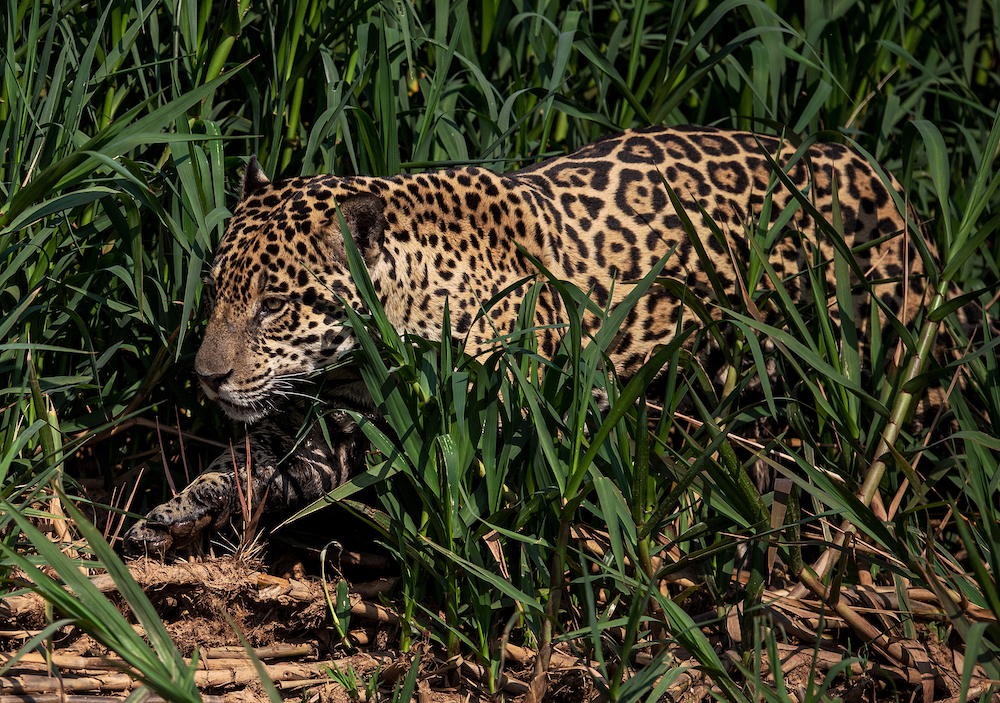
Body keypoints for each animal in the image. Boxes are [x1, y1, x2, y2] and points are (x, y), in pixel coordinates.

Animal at [123, 125, 930, 557]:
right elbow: (240, 466)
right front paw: (166, 518)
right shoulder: (323, 433)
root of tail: (873, 167)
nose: (206, 378)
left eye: (274, 305)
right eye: (218, 290)